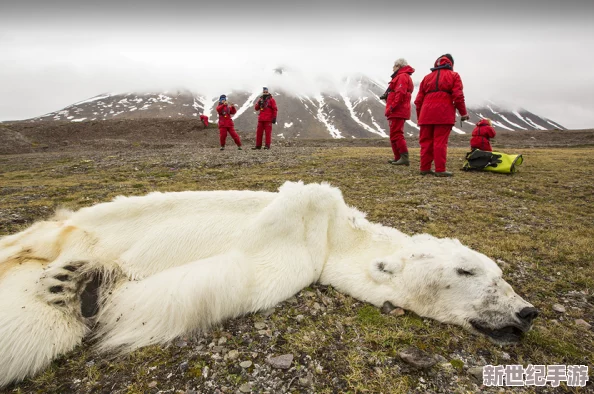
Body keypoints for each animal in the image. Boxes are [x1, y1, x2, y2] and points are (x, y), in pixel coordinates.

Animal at [0, 181, 536, 388]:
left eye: (500, 275)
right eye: (469, 271)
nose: (526, 311)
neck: (334, 235)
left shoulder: (296, 262)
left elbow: (219, 280)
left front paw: (91, 289)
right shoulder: (302, 227)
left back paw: (70, 283)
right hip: (73, 225)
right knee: (32, 240)